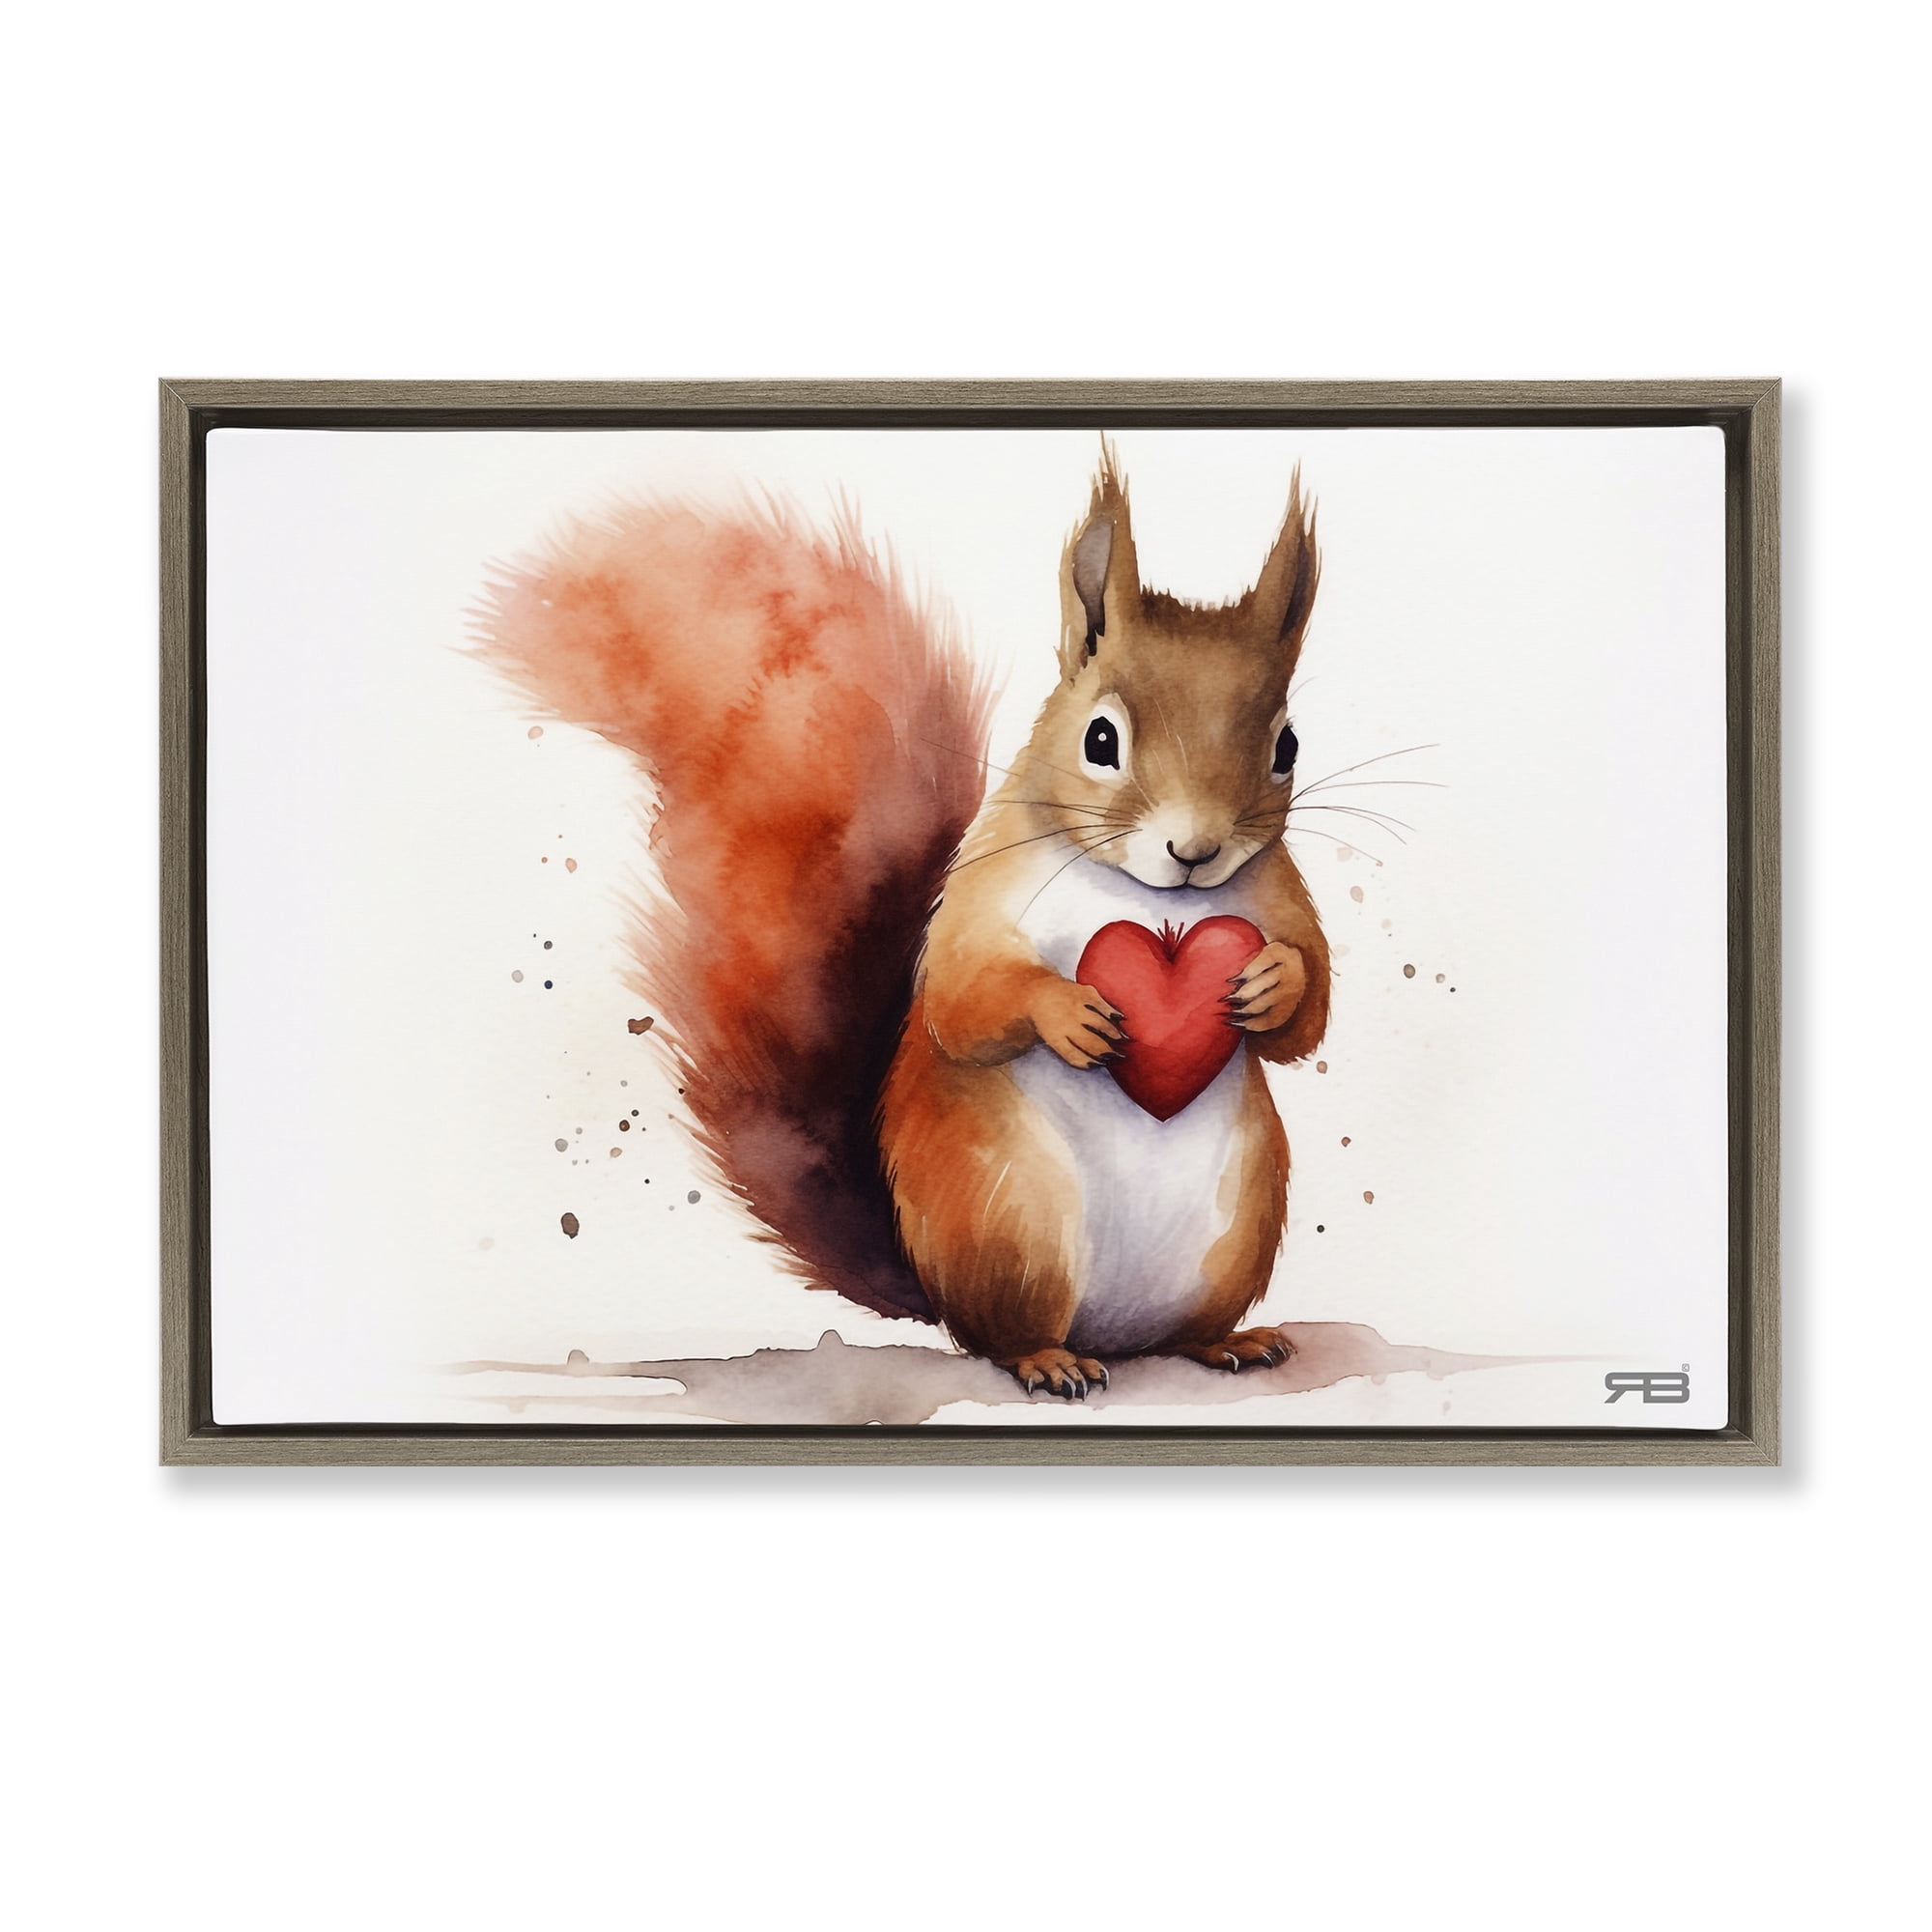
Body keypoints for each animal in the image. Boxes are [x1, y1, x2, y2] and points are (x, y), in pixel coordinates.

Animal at [477, 445, 1330, 1400]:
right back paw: (1046, 1361)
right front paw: (1068, 1012)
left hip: (1240, 1222)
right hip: (1015, 1221)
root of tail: (1113, 1337)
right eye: (1100, 740)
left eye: (1287, 747)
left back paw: (1228, 1342)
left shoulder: (1278, 895)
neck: (1156, 903)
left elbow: (1312, 1005)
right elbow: (964, 997)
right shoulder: (979, 897)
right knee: (1000, 1335)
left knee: (1182, 1329)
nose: (1197, 849)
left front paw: (1272, 982)